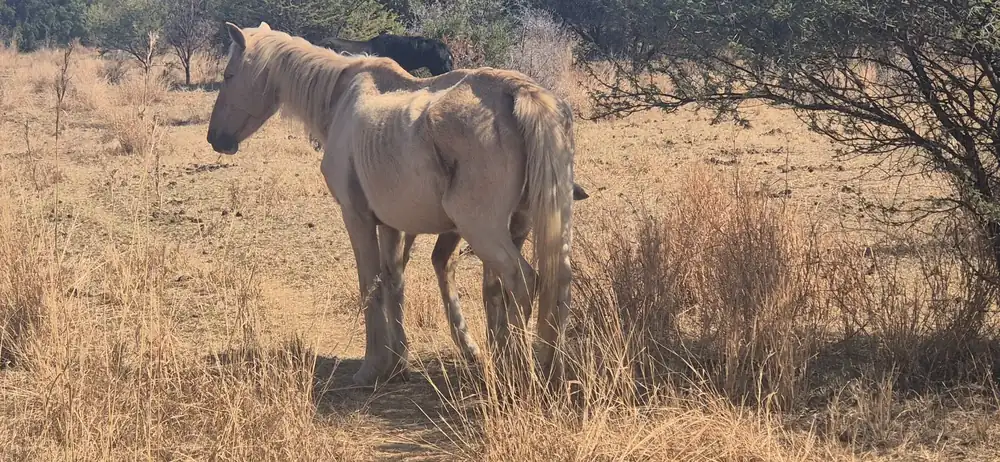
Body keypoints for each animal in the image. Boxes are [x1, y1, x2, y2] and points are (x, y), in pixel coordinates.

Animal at [206, 22, 578, 388]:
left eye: (229, 75)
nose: (215, 139)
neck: (341, 98)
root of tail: (518, 92)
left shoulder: (356, 216)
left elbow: (370, 284)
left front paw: (372, 365)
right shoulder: (391, 225)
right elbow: (394, 281)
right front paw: (398, 362)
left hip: (481, 228)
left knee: (522, 280)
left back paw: (519, 373)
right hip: (532, 223)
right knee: (555, 281)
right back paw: (550, 370)